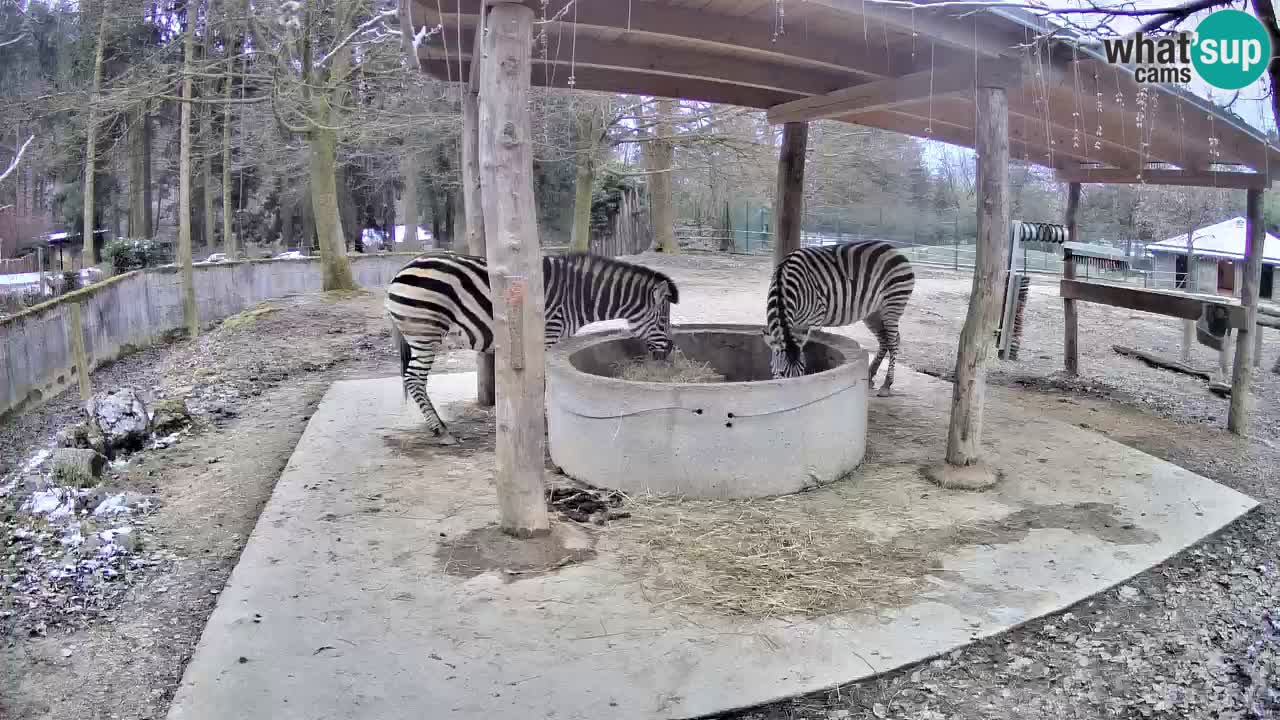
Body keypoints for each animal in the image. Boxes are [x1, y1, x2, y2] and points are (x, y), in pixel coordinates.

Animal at [384, 252, 680, 443]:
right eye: (663, 320)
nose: (669, 352)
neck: (579, 296)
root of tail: (402, 269)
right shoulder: (547, 335)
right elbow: (543, 382)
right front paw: (543, 423)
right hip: (425, 331)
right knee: (414, 379)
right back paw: (442, 431)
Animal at [762, 239, 916, 394]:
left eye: (801, 372)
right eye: (781, 373)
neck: (783, 286)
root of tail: (894, 249)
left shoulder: (815, 319)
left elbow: (814, 347)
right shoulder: (798, 324)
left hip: (893, 304)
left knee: (893, 341)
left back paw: (886, 384)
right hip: (873, 312)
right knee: (885, 340)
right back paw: (870, 375)